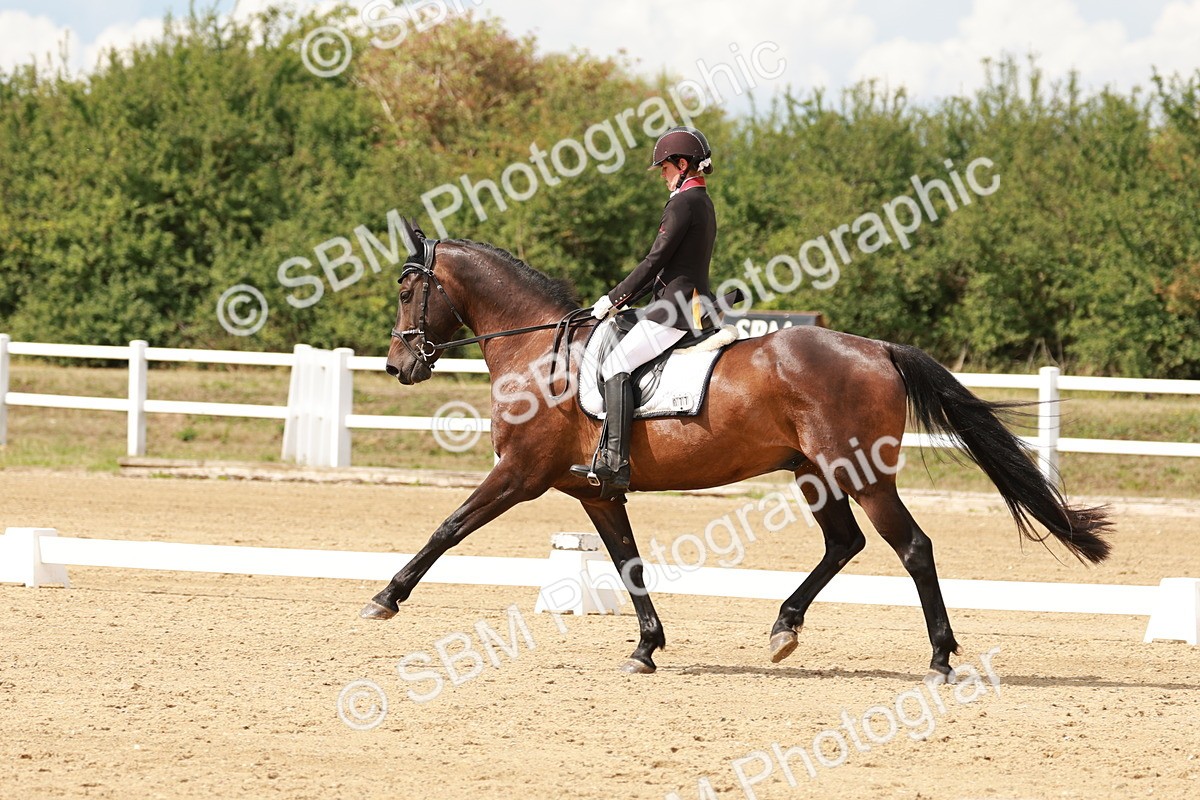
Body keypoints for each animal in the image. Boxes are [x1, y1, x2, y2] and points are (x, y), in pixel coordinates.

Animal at [361, 219, 1112, 683]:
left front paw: (385, 598)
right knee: (844, 544)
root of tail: (877, 348)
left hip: (863, 474)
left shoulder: (519, 473)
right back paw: (784, 628)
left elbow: (449, 528)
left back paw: (940, 658)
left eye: (406, 287)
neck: (538, 350)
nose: (400, 364)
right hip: (815, 472)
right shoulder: (593, 490)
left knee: (913, 548)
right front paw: (646, 648)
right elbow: (628, 563)